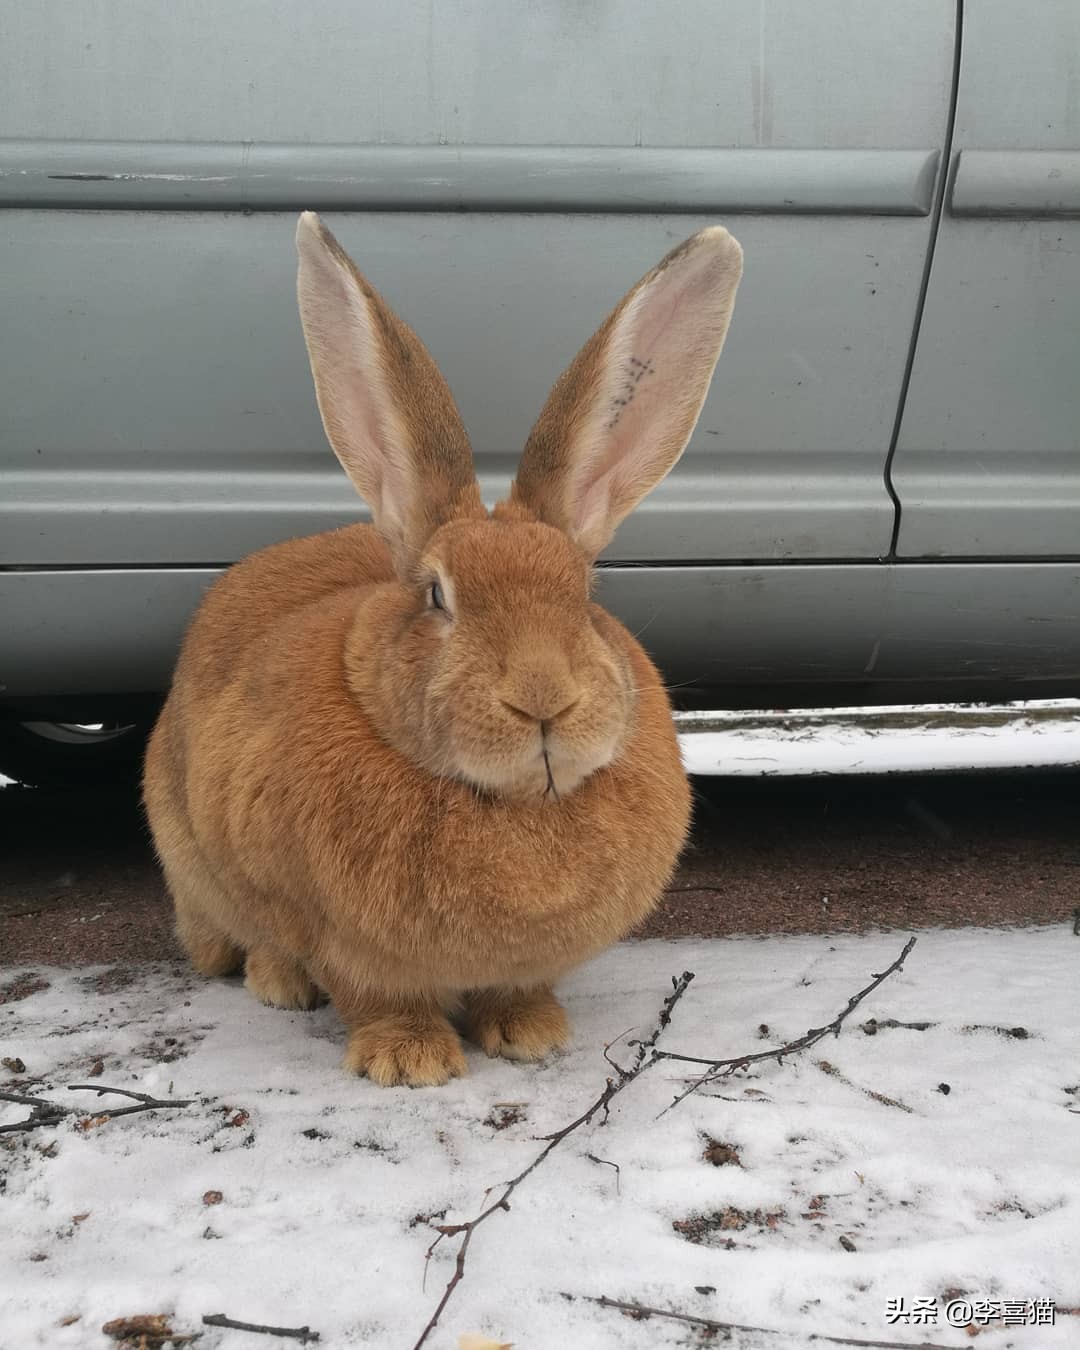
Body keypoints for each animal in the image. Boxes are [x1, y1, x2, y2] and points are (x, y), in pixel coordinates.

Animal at [143, 213, 745, 1085]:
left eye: (583, 595)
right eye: (436, 595)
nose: (543, 699)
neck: (513, 804)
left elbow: (517, 988)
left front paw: (532, 1034)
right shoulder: (346, 945)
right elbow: (375, 993)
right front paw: (409, 1061)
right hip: (195, 867)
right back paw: (279, 983)